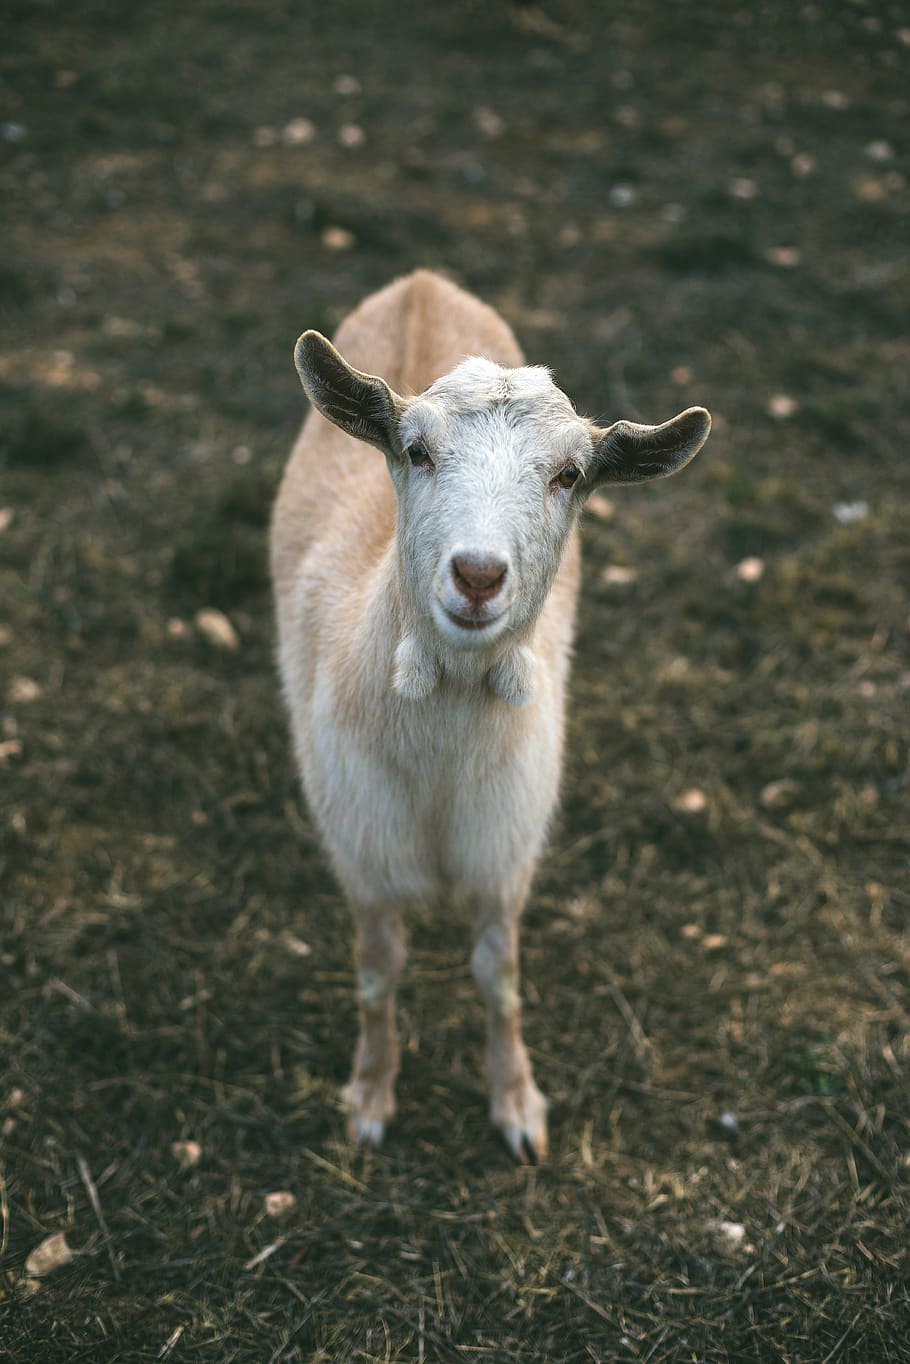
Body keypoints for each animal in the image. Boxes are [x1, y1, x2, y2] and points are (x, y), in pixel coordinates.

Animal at [270, 269, 710, 1161]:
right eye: (416, 450)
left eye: (570, 474)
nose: (477, 575)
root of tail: (423, 283)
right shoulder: (363, 847)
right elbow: (378, 970)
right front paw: (369, 1097)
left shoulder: (505, 850)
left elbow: (498, 978)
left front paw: (518, 1106)